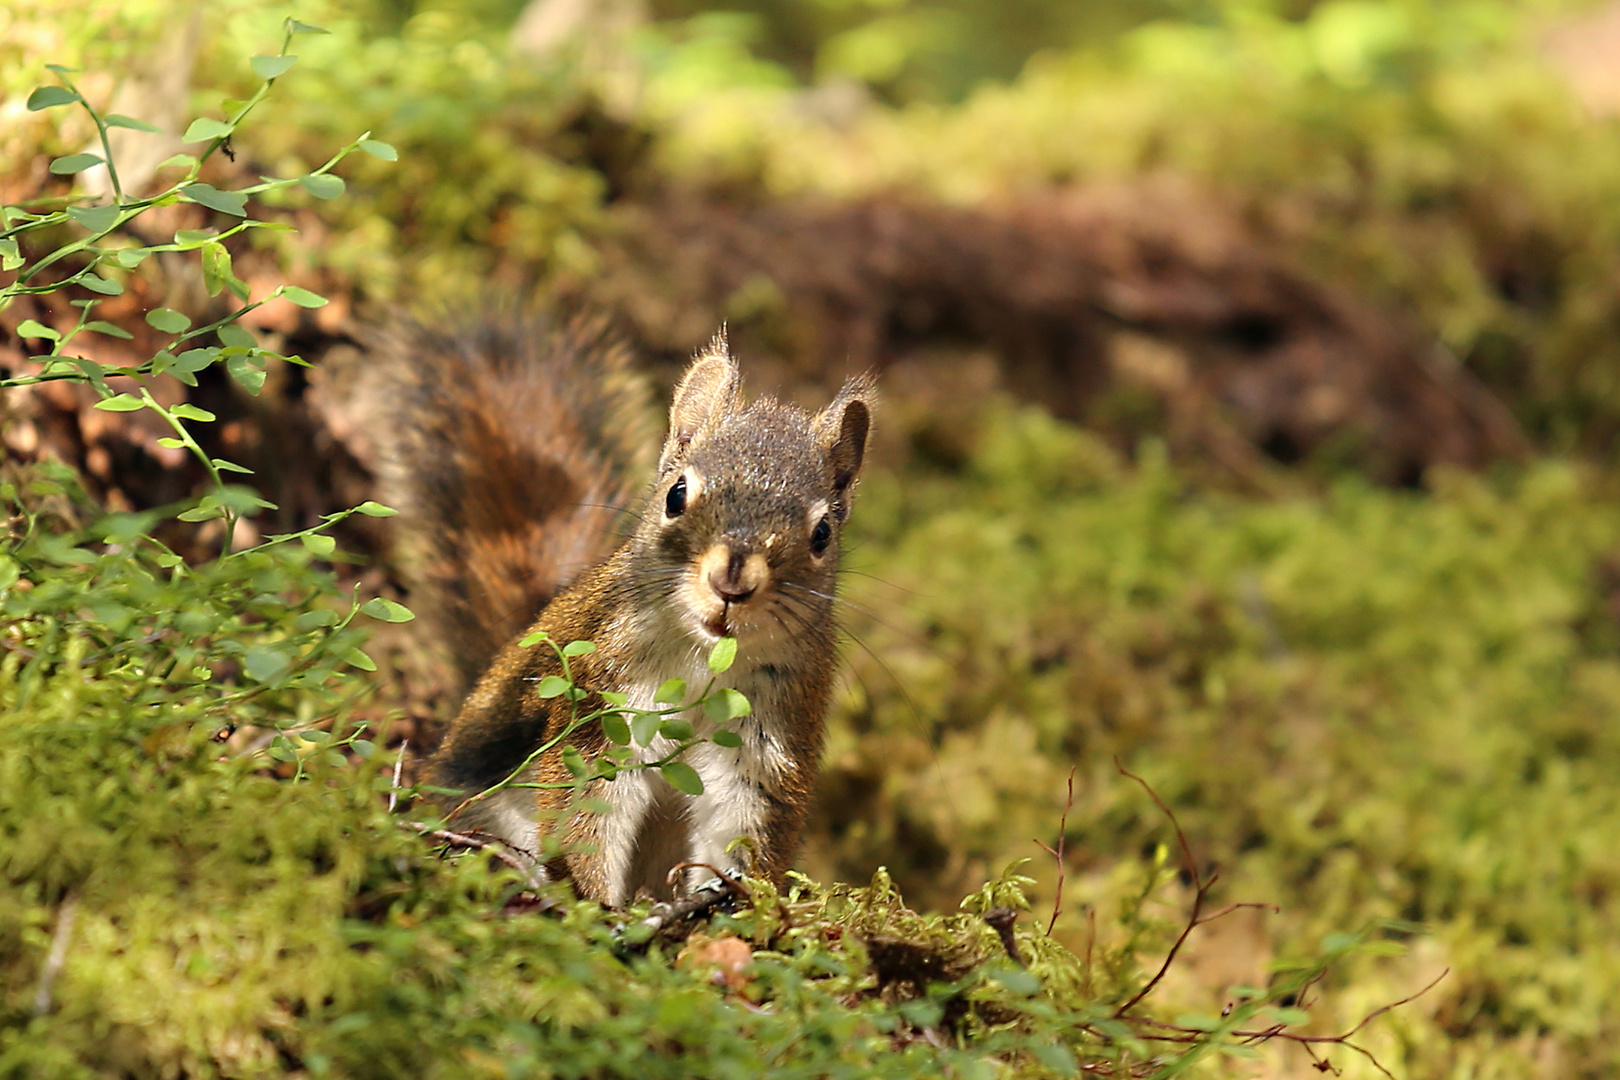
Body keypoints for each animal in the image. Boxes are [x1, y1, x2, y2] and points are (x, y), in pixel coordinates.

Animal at [359, 317, 874, 906]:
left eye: (822, 533)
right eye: (676, 495)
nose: (733, 580)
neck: (703, 658)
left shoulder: (765, 740)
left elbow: (741, 828)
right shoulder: (605, 705)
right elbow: (586, 813)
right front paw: (596, 905)